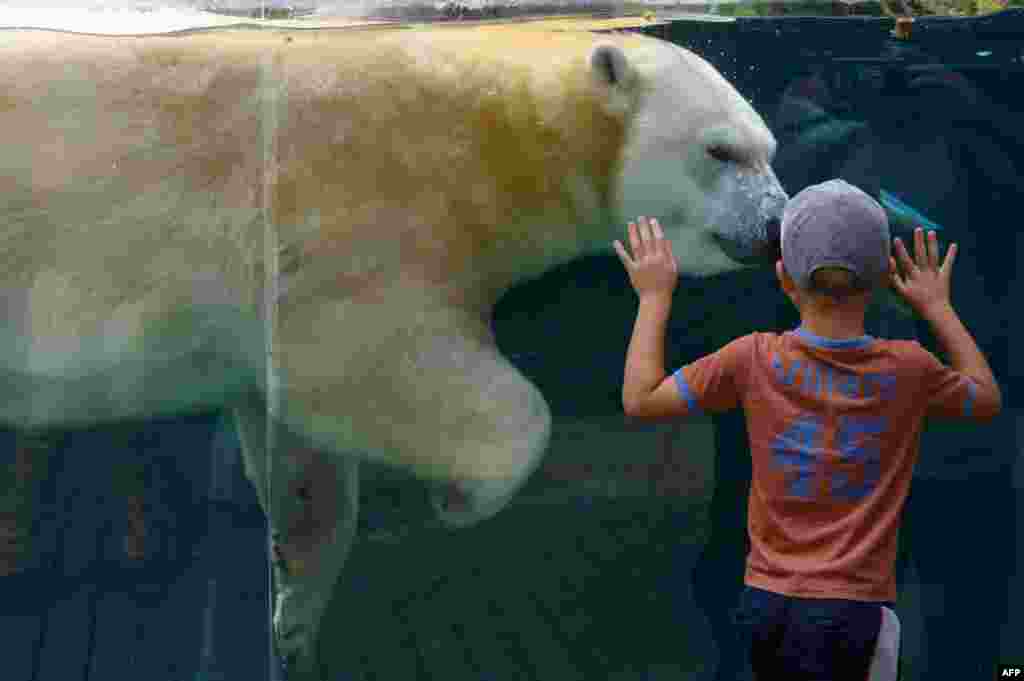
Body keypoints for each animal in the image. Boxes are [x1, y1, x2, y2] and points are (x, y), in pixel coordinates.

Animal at [0, 25, 782, 675]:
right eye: (720, 150)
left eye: (769, 150)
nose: (777, 225)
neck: (492, 131)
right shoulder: (354, 211)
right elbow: (349, 356)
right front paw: (457, 498)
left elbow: (299, 457)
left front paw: (294, 611)